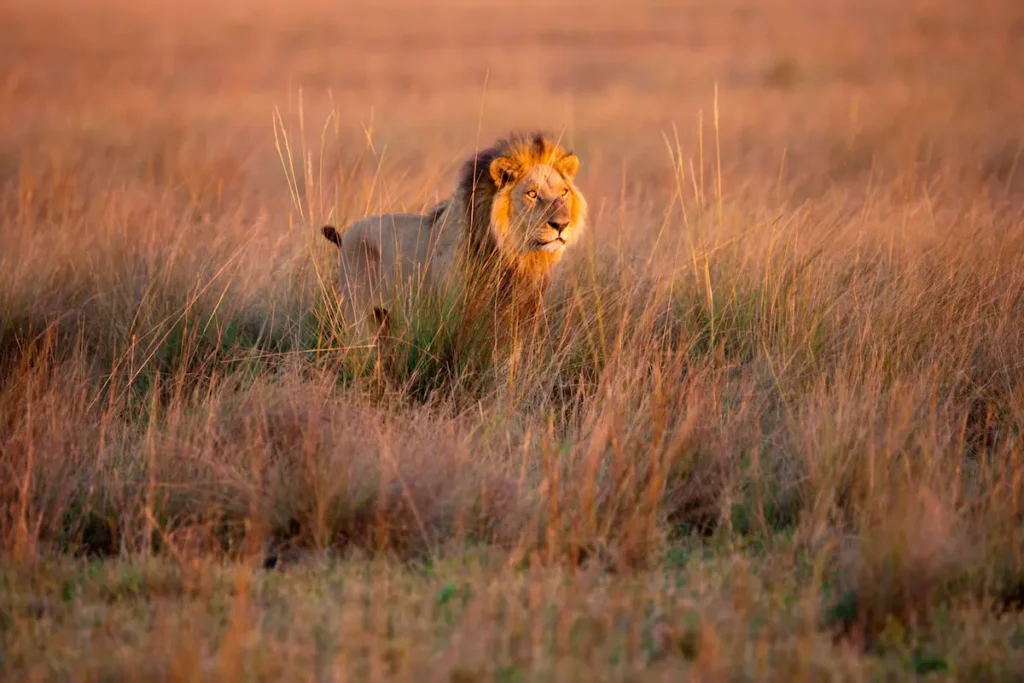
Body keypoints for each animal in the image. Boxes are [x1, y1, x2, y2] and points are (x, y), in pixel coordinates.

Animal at [320, 131, 588, 340]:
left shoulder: (520, 317)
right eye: (532, 194)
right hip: (359, 316)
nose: (561, 225)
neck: (514, 256)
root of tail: (348, 235)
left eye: (564, 192)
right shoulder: (454, 314)